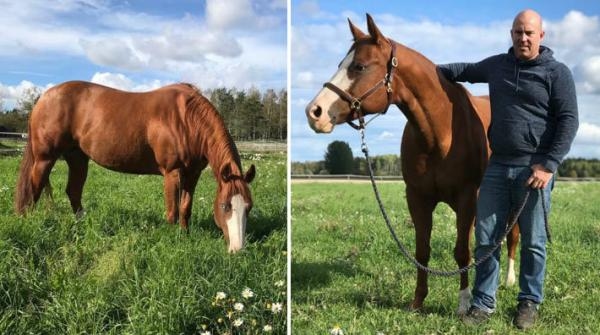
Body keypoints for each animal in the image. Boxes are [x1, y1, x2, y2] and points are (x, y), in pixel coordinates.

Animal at [15, 81, 255, 253]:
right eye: (224, 206)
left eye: (249, 207)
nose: (238, 249)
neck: (186, 119)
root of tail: (43, 98)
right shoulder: (172, 172)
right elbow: (172, 211)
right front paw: (174, 240)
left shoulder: (192, 173)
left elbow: (185, 208)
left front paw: (185, 234)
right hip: (45, 158)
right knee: (34, 189)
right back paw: (28, 223)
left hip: (77, 158)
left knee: (73, 191)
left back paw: (81, 224)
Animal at [304, 14, 520, 316]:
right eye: (340, 65)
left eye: (360, 66)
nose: (314, 112)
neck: (442, 133)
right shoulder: (418, 198)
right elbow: (422, 251)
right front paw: (418, 302)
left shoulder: (467, 198)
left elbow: (462, 252)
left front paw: (463, 302)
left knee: (512, 236)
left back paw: (509, 280)